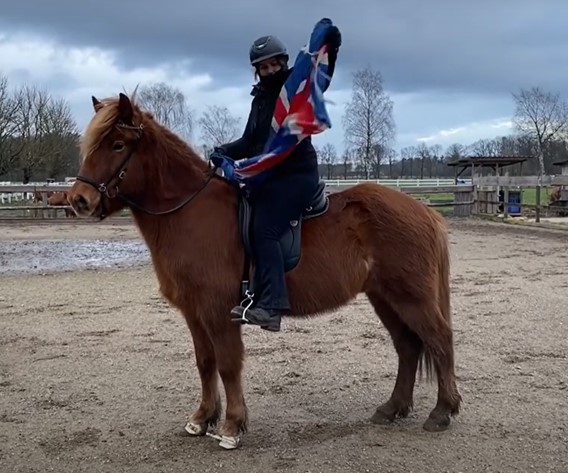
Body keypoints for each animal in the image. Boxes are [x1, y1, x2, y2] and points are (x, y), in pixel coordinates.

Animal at [65, 92, 462, 450]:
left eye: (117, 144)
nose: (79, 200)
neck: (190, 212)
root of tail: (424, 211)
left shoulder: (217, 311)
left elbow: (227, 364)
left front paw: (231, 426)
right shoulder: (194, 313)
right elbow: (205, 362)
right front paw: (202, 418)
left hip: (411, 296)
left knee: (439, 340)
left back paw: (442, 411)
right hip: (385, 297)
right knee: (408, 346)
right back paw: (392, 408)